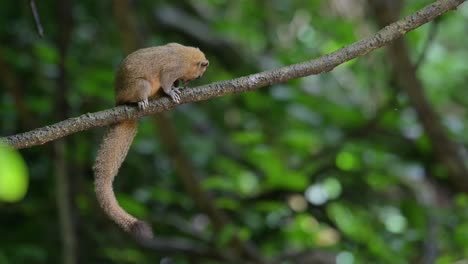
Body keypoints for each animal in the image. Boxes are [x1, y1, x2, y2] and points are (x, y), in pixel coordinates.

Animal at [93, 42, 208, 241]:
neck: (186, 55)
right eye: (198, 74)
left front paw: (176, 89)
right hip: (141, 85)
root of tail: (118, 100)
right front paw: (172, 91)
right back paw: (142, 102)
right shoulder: (174, 68)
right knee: (141, 92)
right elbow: (166, 79)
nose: (186, 83)